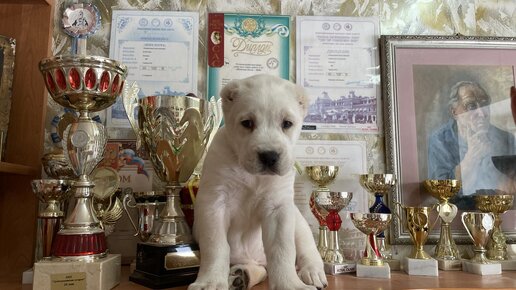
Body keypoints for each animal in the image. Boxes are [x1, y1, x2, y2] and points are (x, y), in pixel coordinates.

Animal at [188, 75, 326, 290]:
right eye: (247, 123)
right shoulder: (214, 203)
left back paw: (312, 272)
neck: (253, 176)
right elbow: (216, 246)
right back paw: (239, 276)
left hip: (299, 223)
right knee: (259, 269)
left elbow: (282, 249)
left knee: (306, 249)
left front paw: (289, 284)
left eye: (287, 123)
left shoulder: (279, 209)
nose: (269, 156)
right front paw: (210, 282)